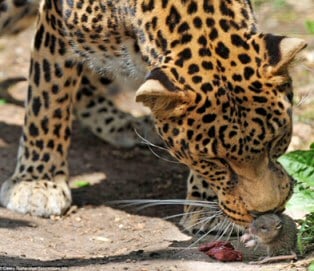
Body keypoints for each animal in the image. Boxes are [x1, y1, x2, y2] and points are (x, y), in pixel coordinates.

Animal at [0, 0, 306, 236]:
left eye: (276, 141)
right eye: (215, 160)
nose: (266, 212)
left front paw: (208, 204)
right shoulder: (56, 24)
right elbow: (49, 97)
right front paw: (37, 182)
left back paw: (116, 120)